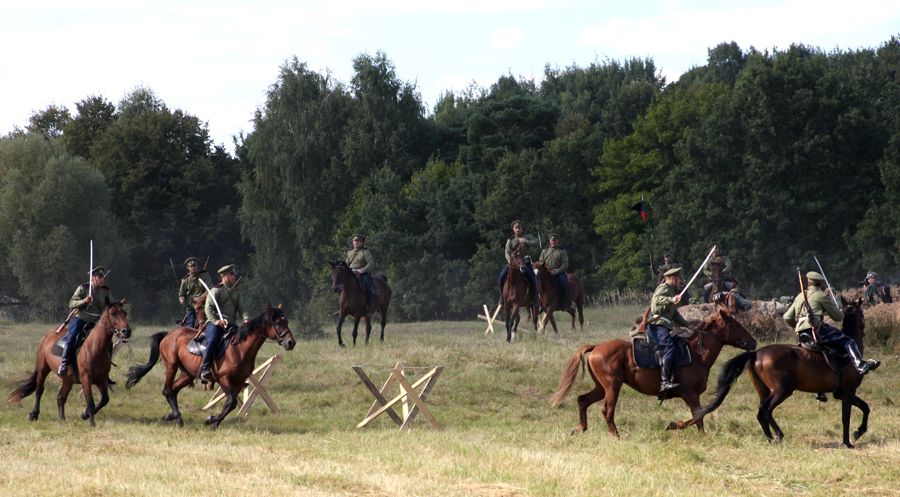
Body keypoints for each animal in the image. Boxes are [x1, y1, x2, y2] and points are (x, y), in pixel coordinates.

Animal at [8, 300, 132, 428]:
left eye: (125, 313)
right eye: (113, 313)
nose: (126, 331)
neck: (95, 347)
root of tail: (47, 336)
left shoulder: (101, 380)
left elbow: (105, 400)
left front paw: (85, 414)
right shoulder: (86, 379)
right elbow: (90, 402)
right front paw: (91, 422)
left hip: (68, 379)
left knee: (61, 397)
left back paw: (62, 418)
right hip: (43, 369)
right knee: (39, 390)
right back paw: (33, 414)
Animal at [125, 302, 296, 426]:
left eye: (286, 321)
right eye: (277, 322)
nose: (291, 342)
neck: (240, 349)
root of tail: (169, 334)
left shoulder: (239, 383)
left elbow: (230, 404)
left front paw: (215, 421)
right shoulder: (224, 379)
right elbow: (231, 402)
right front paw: (211, 420)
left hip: (187, 374)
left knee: (172, 391)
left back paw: (173, 416)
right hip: (171, 366)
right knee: (167, 390)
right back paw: (177, 417)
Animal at [552, 308, 756, 436]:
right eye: (737, 325)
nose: (753, 342)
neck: (697, 354)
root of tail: (596, 347)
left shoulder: (692, 396)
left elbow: (699, 417)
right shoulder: (690, 394)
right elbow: (698, 416)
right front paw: (675, 426)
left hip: (601, 387)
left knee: (583, 400)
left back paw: (580, 428)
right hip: (612, 386)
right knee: (607, 410)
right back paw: (617, 437)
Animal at [684, 298, 872, 450]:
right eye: (862, 313)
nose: (864, 329)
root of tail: (756, 353)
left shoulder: (841, 393)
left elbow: (865, 407)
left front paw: (858, 432)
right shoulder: (848, 391)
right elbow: (847, 416)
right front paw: (848, 441)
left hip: (765, 391)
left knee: (761, 412)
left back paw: (769, 438)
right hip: (782, 391)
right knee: (766, 411)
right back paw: (779, 435)